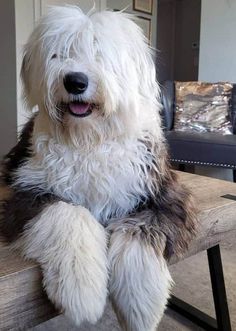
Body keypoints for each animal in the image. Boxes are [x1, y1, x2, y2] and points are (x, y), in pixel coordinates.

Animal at [0, 5, 196, 331]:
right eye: (59, 54)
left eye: (100, 53)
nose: (75, 82)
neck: (89, 139)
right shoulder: (26, 191)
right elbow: (67, 212)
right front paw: (82, 291)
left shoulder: (164, 193)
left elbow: (140, 229)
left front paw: (141, 304)